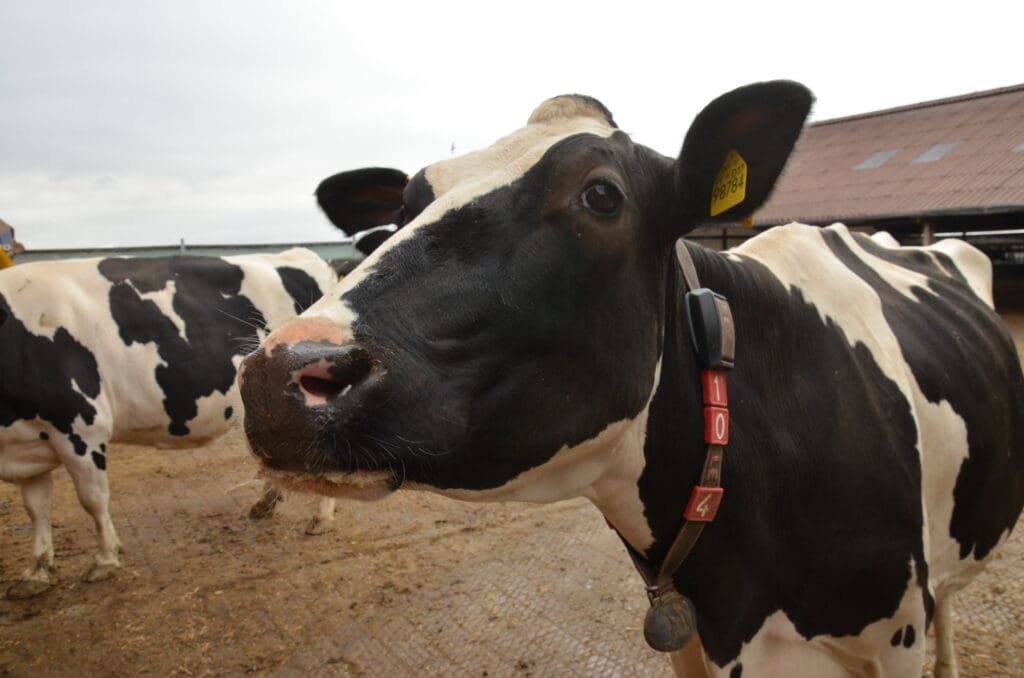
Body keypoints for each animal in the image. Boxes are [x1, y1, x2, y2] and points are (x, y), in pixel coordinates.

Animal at [2, 248, 342, 602]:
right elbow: (37, 509)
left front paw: (105, 559)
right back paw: (266, 504)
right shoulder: (27, 445)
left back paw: (321, 517)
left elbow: (92, 500)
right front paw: (37, 571)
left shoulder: (81, 426)